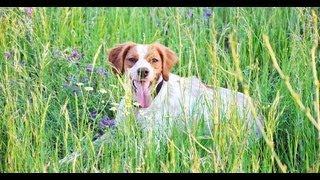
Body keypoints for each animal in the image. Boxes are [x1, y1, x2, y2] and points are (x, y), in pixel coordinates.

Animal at [107, 42, 262, 142]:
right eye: (132, 59)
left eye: (154, 60)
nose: (143, 71)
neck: (139, 108)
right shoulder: (118, 130)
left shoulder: (153, 139)